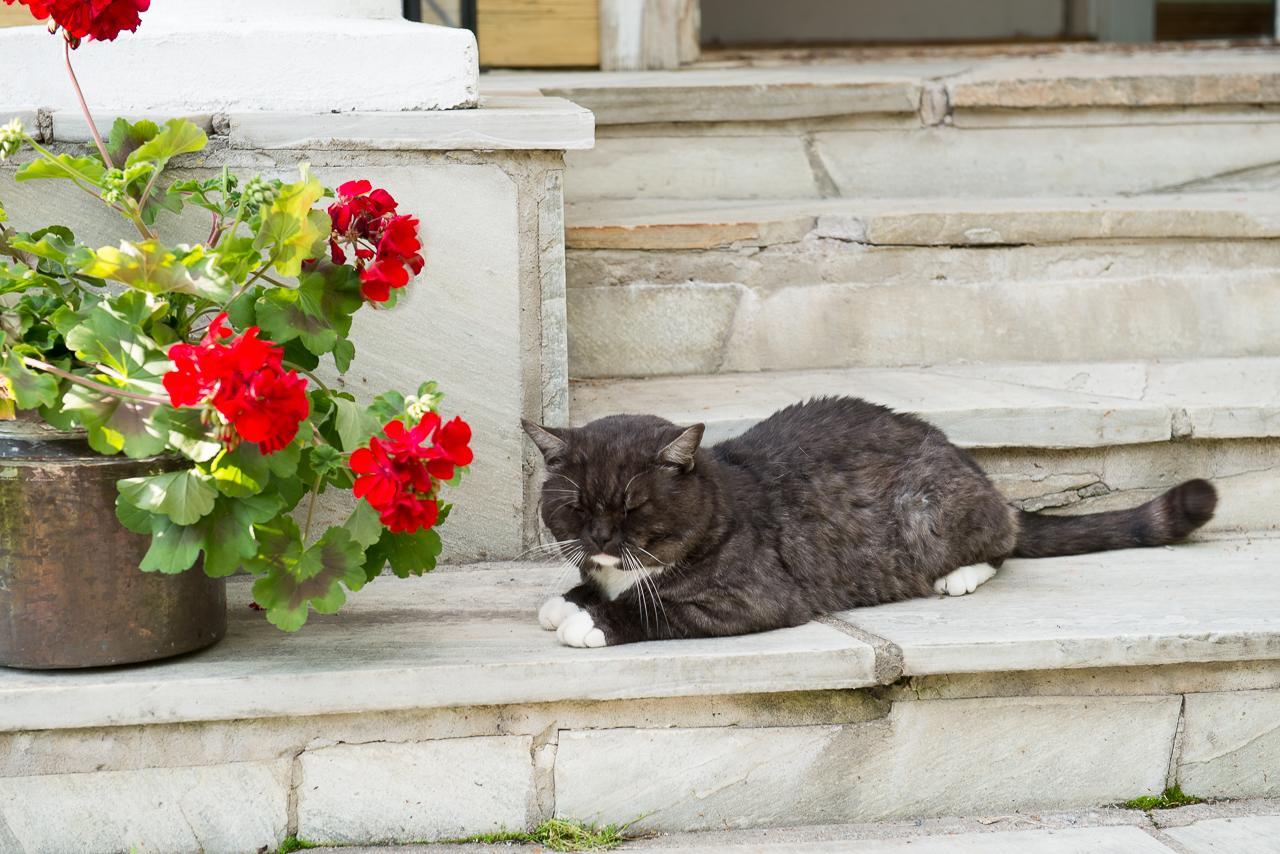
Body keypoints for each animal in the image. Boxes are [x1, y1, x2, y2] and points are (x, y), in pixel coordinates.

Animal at [522, 402, 1218, 647]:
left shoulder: (750, 597)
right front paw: (571, 598)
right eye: (578, 508)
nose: (602, 539)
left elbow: (656, 608)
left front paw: (592, 620)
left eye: (633, 508)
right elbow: (595, 585)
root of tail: (967, 461)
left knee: (1004, 541)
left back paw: (959, 576)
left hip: (928, 508)